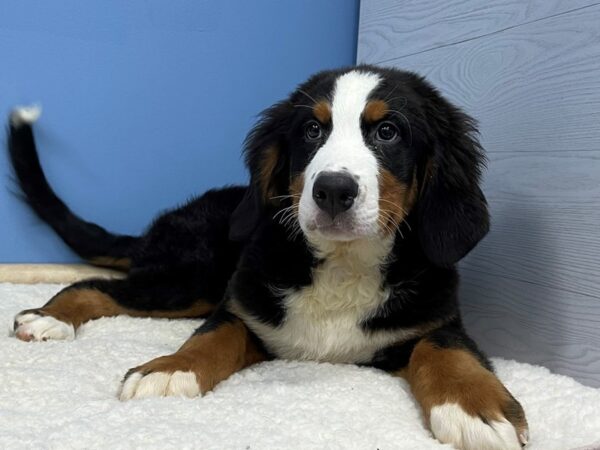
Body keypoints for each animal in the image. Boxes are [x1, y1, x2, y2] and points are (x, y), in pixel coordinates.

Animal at [7, 65, 528, 448]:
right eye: (313, 129)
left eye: (387, 132)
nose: (332, 189)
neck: (344, 265)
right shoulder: (243, 306)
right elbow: (212, 337)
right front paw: (170, 369)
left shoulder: (439, 319)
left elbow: (446, 352)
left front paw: (474, 408)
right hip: (189, 280)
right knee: (93, 285)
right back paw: (49, 318)